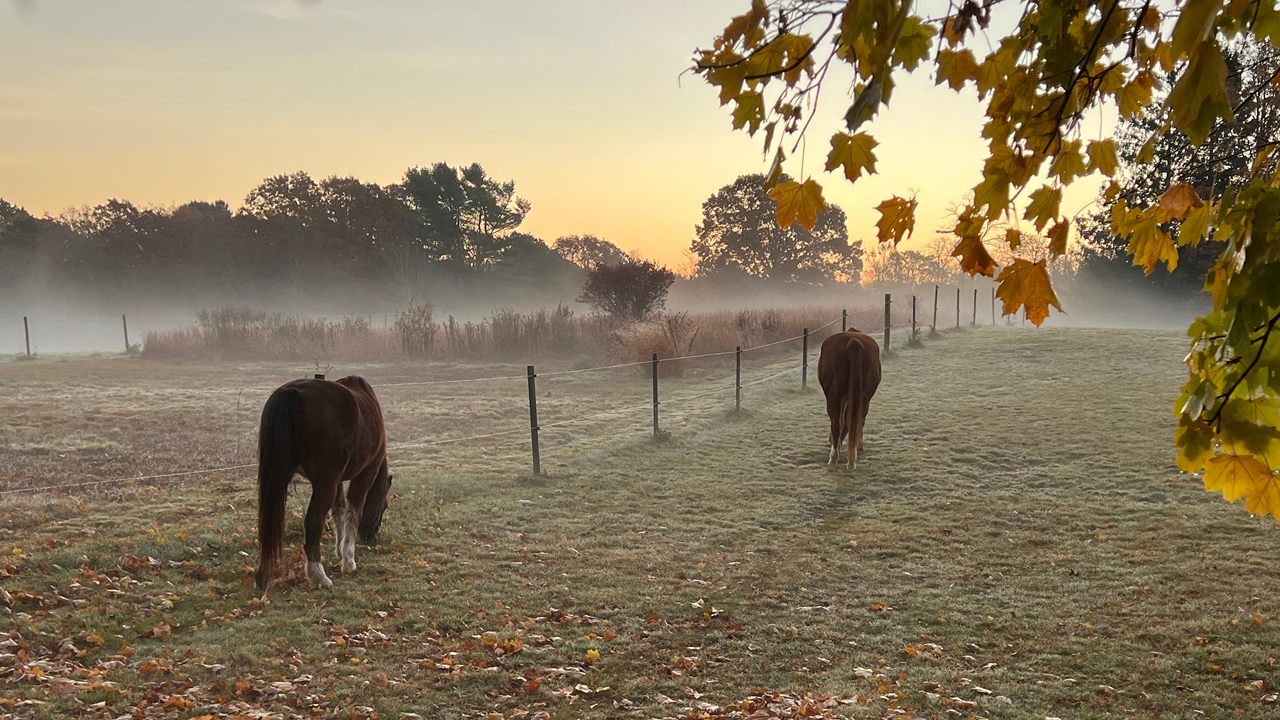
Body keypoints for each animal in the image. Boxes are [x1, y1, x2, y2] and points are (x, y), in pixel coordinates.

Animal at [250, 371, 386, 586]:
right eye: (384, 506)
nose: (373, 539)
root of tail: (293, 392)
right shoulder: (366, 473)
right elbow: (353, 511)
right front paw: (348, 559)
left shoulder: (337, 480)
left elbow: (339, 510)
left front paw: (339, 551)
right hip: (325, 485)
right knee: (313, 522)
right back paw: (319, 577)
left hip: (281, 479)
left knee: (268, 524)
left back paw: (262, 576)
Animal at [819, 330, 880, 466]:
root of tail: (853, 341)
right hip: (864, 398)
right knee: (857, 420)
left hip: (835, 396)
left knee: (837, 424)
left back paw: (834, 457)